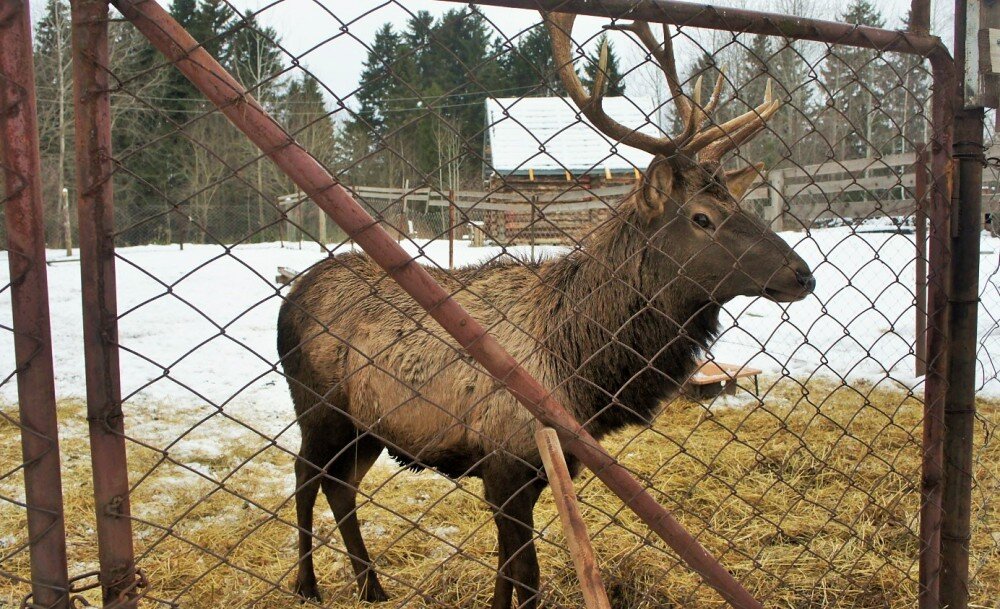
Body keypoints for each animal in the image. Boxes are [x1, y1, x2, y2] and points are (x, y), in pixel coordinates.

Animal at [278, 13, 816, 608]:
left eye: (739, 204)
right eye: (702, 217)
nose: (802, 273)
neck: (581, 369)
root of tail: (293, 293)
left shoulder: (534, 469)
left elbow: (507, 571)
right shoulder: (506, 463)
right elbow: (527, 576)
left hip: (367, 427)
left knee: (340, 486)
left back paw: (371, 587)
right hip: (319, 408)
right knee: (304, 475)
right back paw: (307, 584)